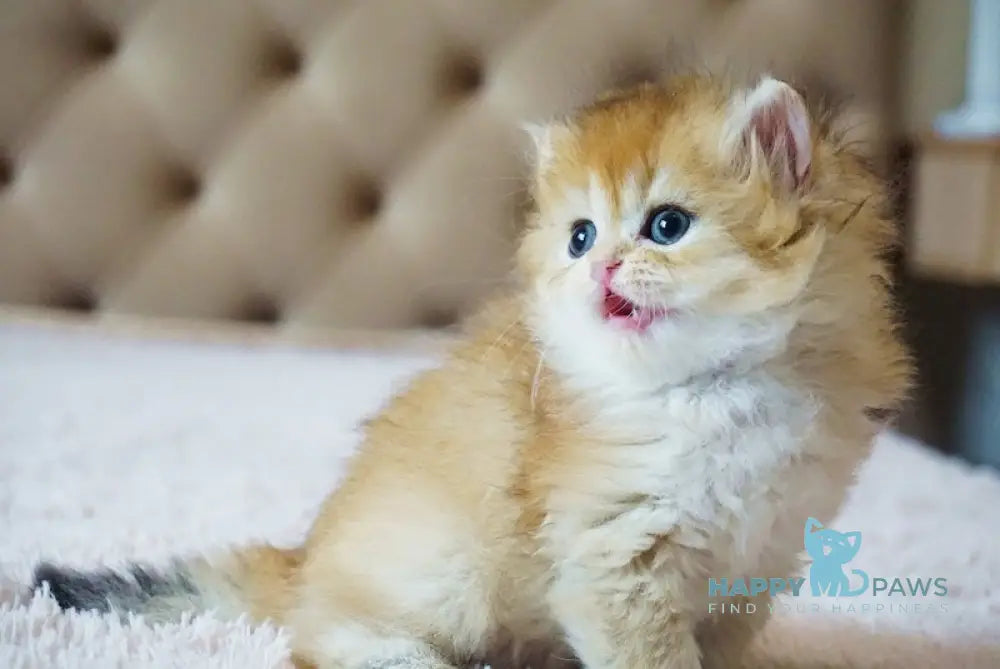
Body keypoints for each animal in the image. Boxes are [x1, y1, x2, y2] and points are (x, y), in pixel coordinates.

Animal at [31, 73, 912, 668]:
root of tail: (308, 558)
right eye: (580, 237)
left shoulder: (758, 561)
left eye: (667, 225)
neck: (713, 391)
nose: (602, 269)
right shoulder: (615, 561)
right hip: (444, 578)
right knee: (326, 639)